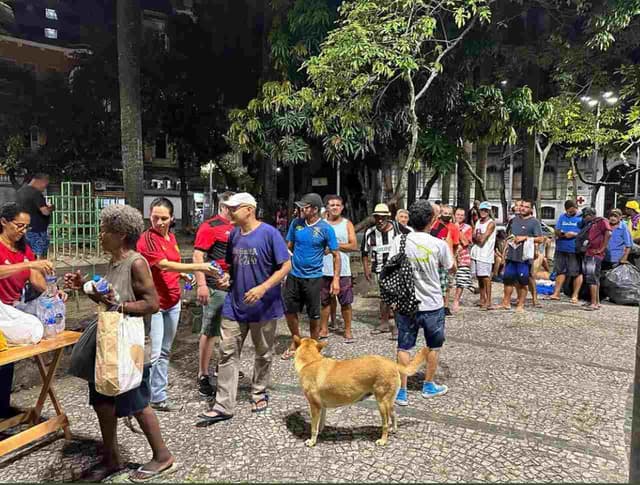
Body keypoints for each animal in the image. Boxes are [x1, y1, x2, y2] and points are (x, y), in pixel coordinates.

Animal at [292, 336, 428, 446]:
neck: (310, 361)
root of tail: (391, 363)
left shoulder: (314, 406)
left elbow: (313, 428)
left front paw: (312, 441)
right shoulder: (322, 406)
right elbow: (320, 423)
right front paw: (321, 431)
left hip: (381, 404)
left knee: (385, 424)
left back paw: (383, 440)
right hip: (388, 402)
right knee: (394, 415)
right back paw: (393, 430)